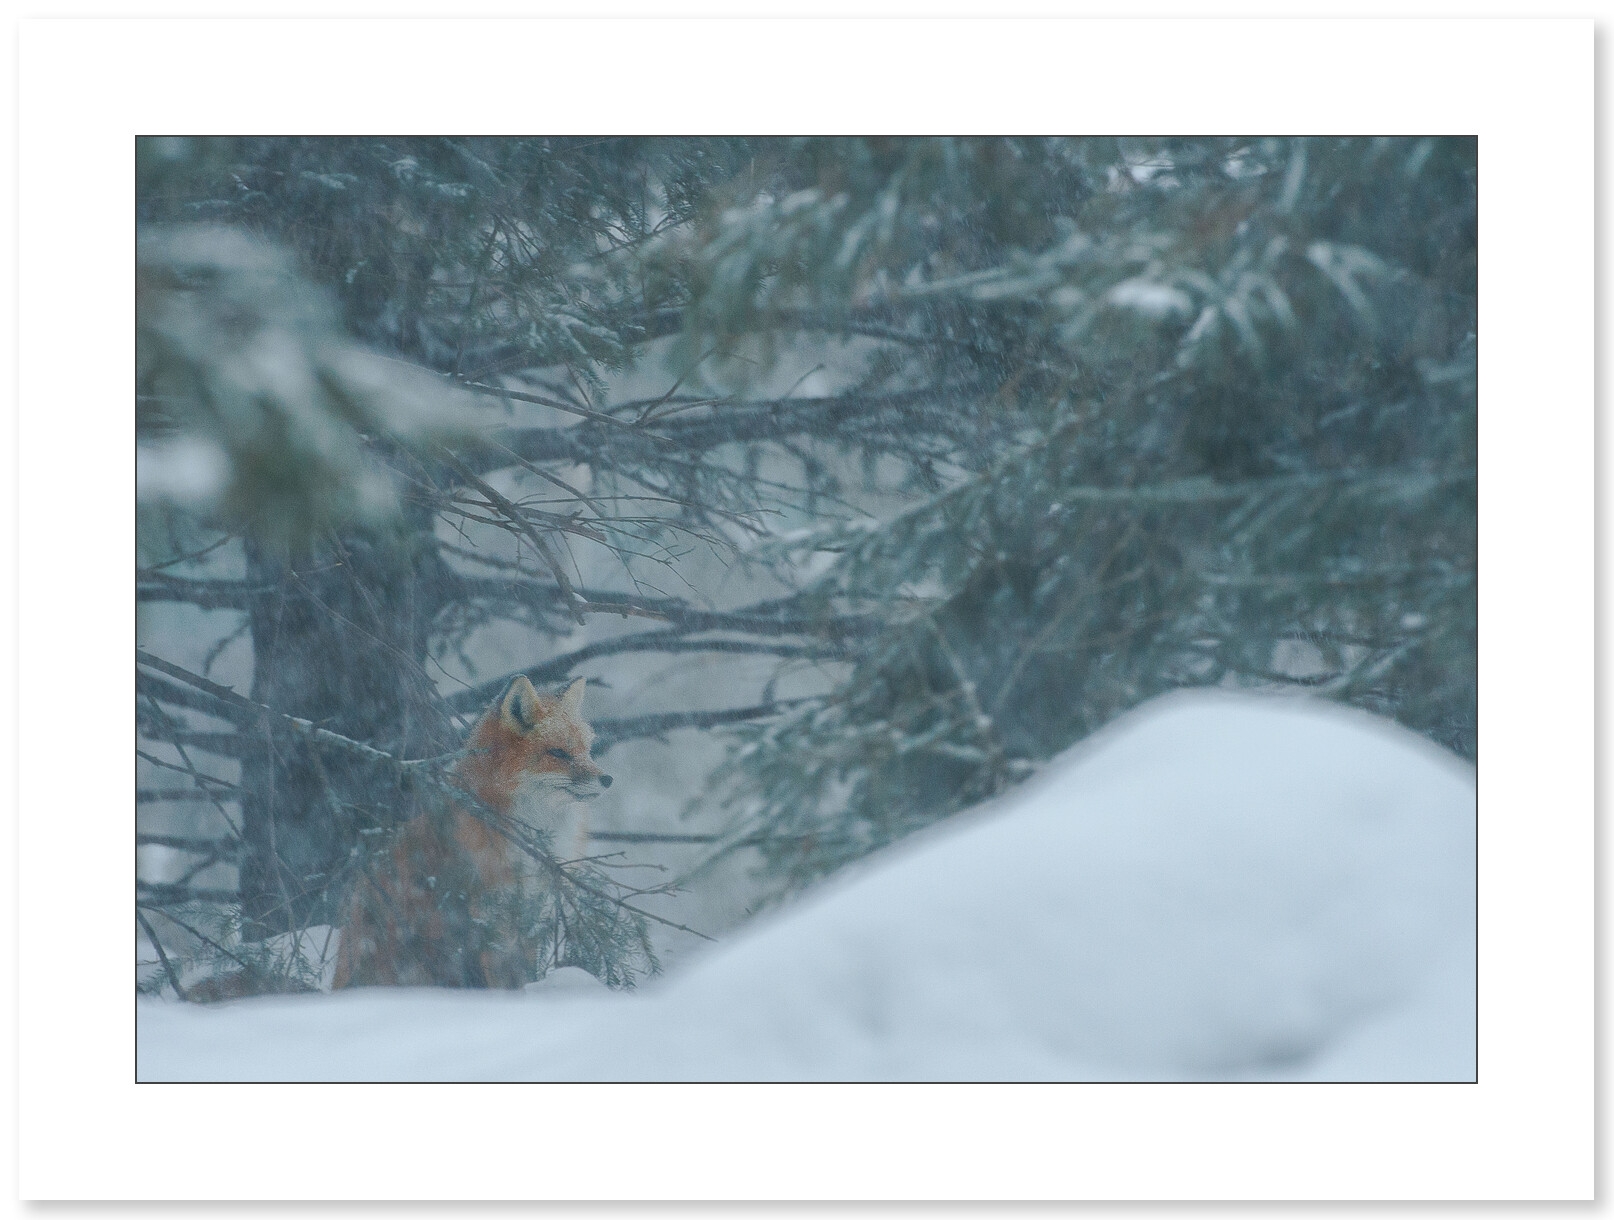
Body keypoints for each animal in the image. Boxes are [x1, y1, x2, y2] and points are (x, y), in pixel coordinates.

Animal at [331, 675, 612, 990]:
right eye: (558, 753)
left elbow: (524, 975)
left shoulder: (532, 913)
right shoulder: (486, 917)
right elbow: (497, 981)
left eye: (586, 750)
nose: (608, 779)